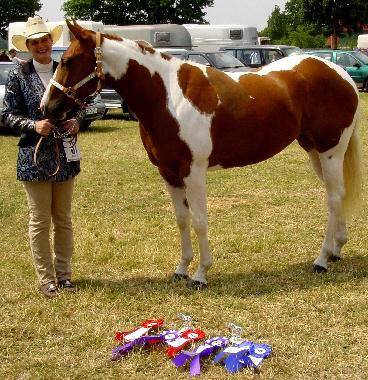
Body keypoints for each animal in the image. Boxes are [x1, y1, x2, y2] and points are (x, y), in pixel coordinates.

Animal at [42, 20, 362, 288]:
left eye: (68, 61)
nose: (47, 107)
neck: (168, 96)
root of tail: (342, 75)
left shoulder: (192, 171)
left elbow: (199, 220)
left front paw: (200, 274)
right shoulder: (168, 173)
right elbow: (182, 220)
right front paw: (181, 269)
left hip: (331, 151)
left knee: (334, 198)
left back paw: (321, 260)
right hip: (314, 150)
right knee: (338, 194)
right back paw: (336, 250)